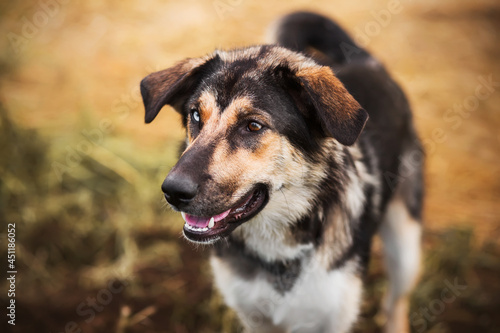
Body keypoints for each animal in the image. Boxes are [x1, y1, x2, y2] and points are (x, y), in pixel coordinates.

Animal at [140, 11, 422, 332]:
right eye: (196, 115)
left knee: (395, 302)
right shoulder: (254, 316)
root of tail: (366, 61)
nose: (173, 191)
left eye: (253, 125)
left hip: (406, 249)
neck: (277, 249)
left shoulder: (333, 316)